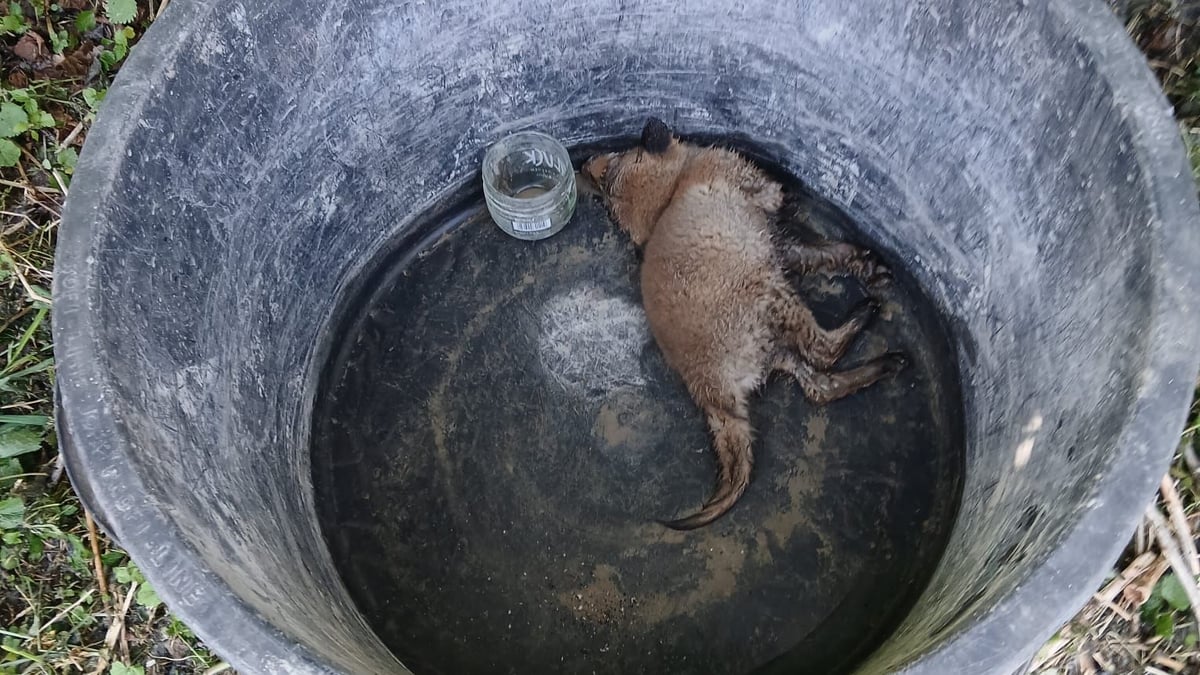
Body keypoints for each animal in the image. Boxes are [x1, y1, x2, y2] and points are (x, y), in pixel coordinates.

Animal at [581, 117, 907, 530]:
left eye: (617, 159)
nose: (650, 124)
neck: (669, 197)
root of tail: (711, 389)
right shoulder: (760, 196)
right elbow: (810, 228)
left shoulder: (783, 245)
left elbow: (831, 251)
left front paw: (870, 265)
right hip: (773, 293)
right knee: (822, 351)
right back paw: (865, 315)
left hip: (776, 346)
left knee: (820, 387)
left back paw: (886, 362)